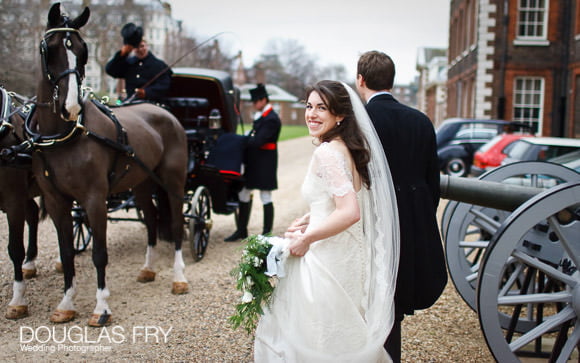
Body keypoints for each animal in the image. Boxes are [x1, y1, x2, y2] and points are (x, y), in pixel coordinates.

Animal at [31, 2, 188, 328]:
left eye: (82, 50)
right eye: (50, 48)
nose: (70, 106)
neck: (64, 136)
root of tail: (164, 112)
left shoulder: (94, 199)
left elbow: (100, 254)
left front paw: (101, 307)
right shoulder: (55, 201)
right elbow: (67, 253)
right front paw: (66, 303)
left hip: (173, 182)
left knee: (178, 223)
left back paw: (179, 278)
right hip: (142, 183)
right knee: (151, 219)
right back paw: (148, 268)